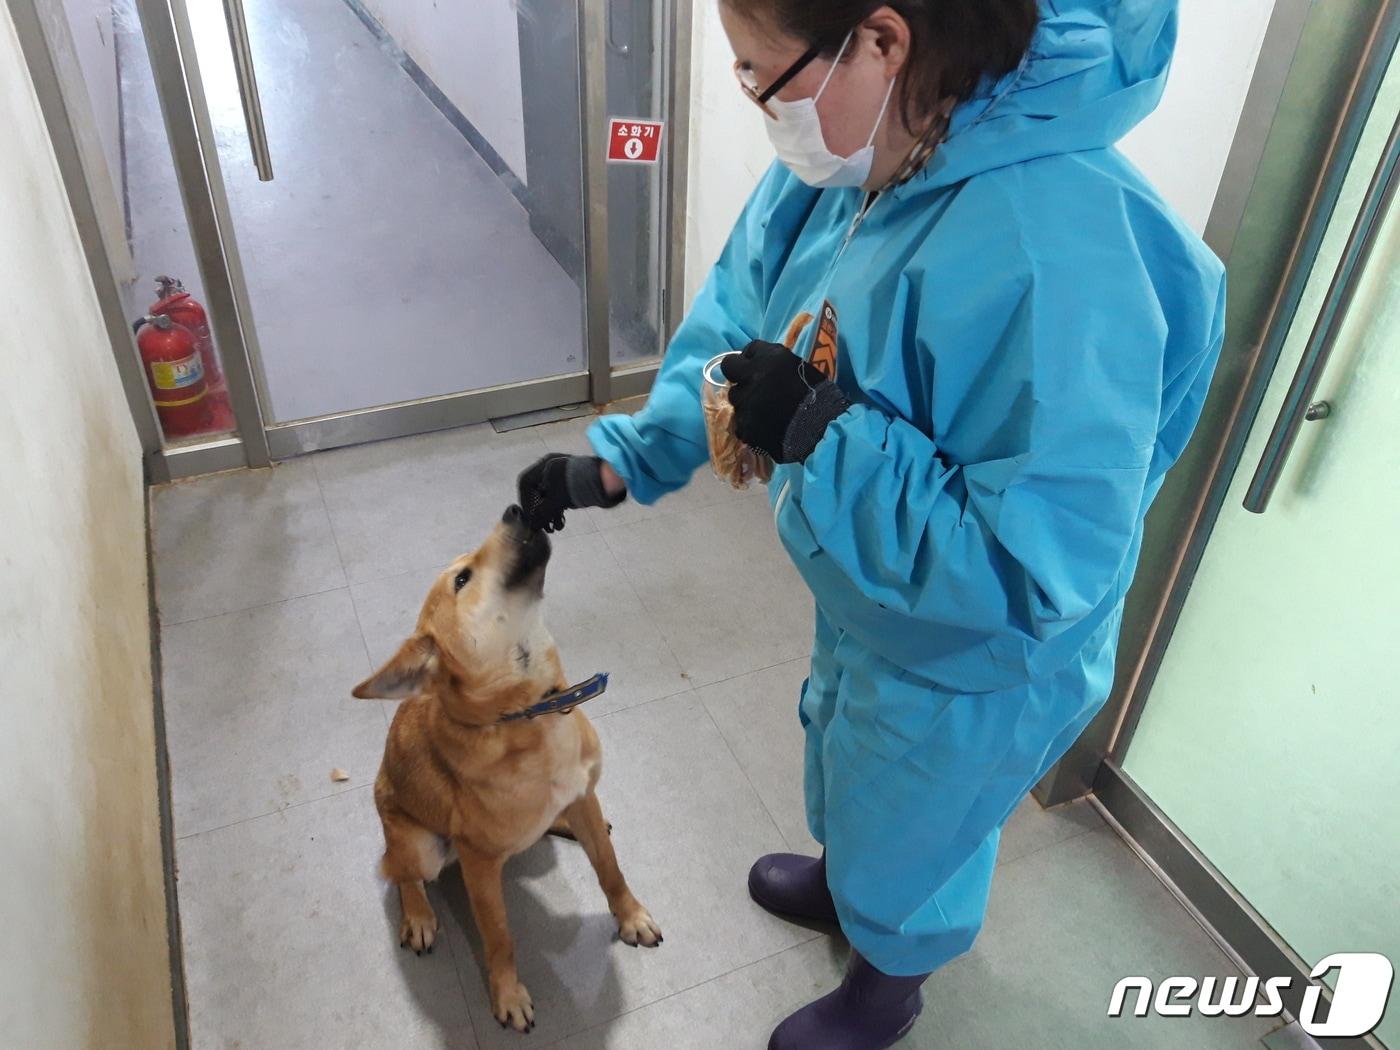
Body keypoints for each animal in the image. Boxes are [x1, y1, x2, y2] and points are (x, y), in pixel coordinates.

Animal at [347, 506, 658, 1036]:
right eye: (462, 579)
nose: (514, 508)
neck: (531, 713)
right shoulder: (479, 863)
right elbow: (499, 937)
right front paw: (508, 994)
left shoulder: (584, 795)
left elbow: (610, 868)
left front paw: (630, 915)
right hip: (418, 844)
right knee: (400, 871)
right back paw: (419, 915)